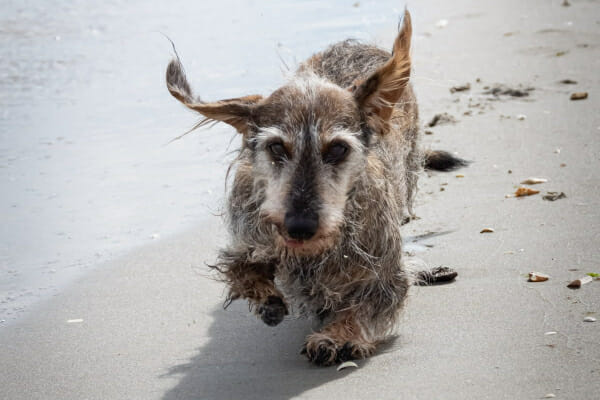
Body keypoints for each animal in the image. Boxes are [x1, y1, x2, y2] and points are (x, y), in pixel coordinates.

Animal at [164, 9, 464, 366]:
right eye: (277, 147)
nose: (300, 227)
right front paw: (267, 299)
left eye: (337, 149)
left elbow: (372, 300)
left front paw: (338, 335)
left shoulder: (385, 271)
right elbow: (243, 268)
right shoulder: (247, 239)